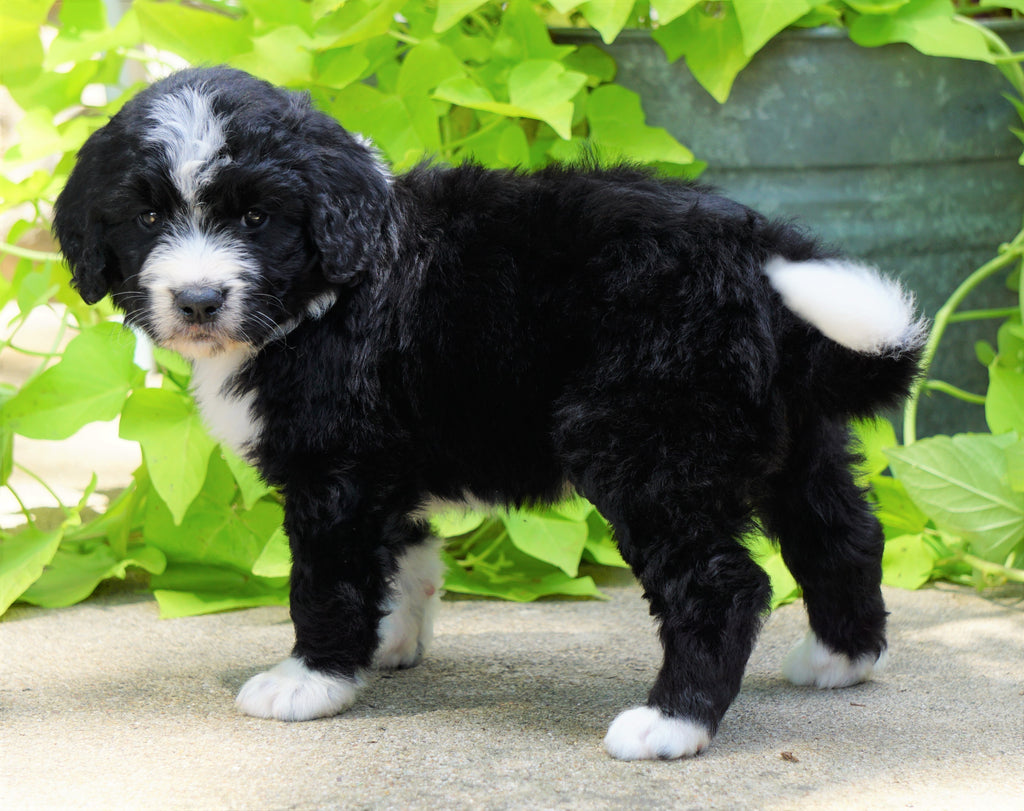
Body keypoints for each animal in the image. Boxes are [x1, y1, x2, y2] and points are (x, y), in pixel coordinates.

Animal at [51, 66, 925, 757]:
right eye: (148, 217)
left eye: (255, 218)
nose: (198, 299)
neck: (331, 285)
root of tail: (757, 262)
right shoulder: (381, 468)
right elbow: (402, 558)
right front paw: (388, 643)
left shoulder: (334, 471)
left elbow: (325, 579)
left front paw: (313, 679)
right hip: (793, 442)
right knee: (842, 534)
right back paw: (840, 660)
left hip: (644, 446)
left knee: (724, 583)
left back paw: (672, 723)